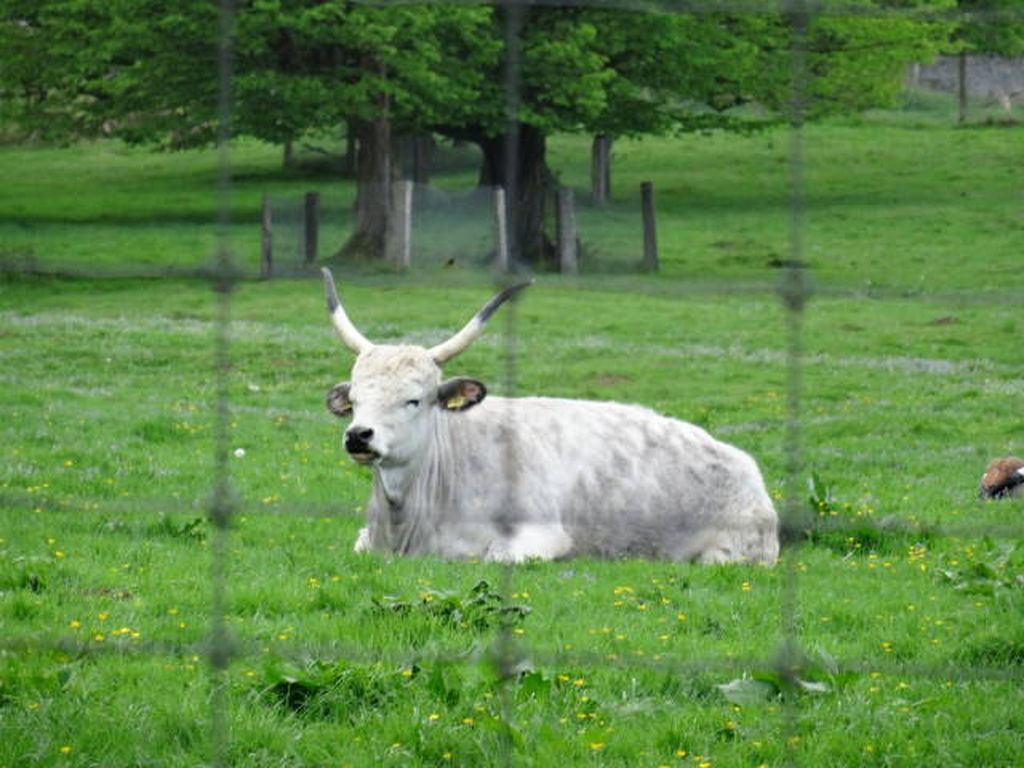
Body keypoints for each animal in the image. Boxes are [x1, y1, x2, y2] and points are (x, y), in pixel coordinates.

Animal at [323, 270, 778, 565]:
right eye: (356, 398)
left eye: (414, 400)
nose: (359, 435)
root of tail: (743, 462)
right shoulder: (366, 541)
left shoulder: (540, 537)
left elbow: (494, 557)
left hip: (729, 552)